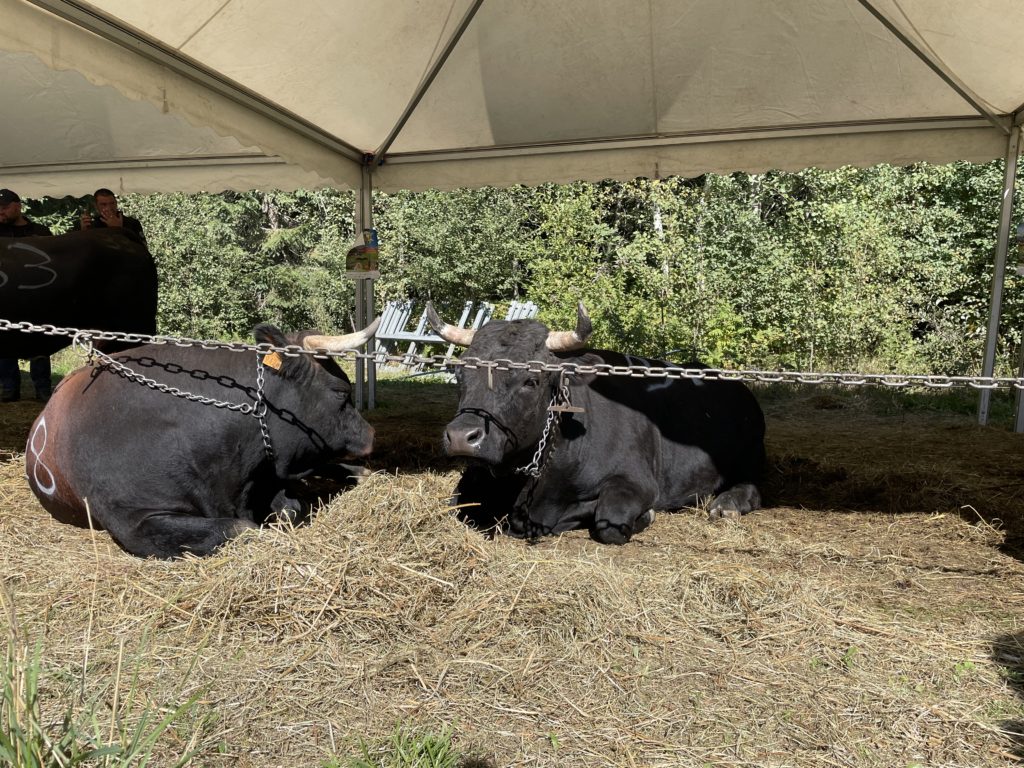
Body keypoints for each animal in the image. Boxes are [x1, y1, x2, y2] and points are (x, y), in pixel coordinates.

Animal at [425, 303, 770, 544]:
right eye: (460, 373)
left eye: (531, 380)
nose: (461, 436)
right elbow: (459, 507)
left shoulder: (636, 482)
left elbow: (609, 521)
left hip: (749, 458)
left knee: (752, 487)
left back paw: (726, 504)